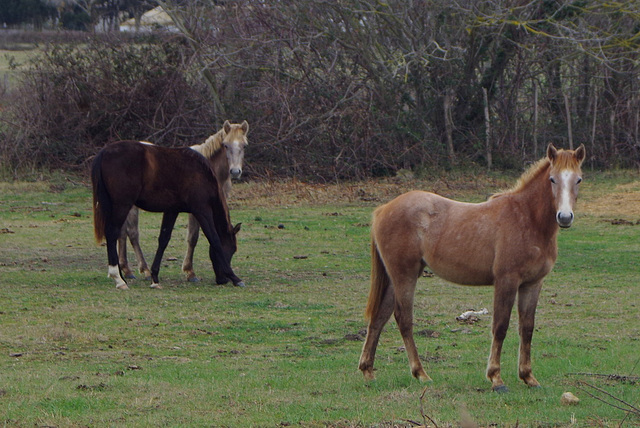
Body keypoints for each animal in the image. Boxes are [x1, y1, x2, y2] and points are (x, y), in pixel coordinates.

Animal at [93, 140, 245, 290]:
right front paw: (236, 278)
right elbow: (214, 240)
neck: (203, 173)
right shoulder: (202, 211)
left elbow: (163, 240)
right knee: (112, 233)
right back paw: (118, 279)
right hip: (122, 205)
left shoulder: (172, 211)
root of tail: (104, 152)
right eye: (232, 249)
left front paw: (154, 277)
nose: (222, 280)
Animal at [116, 120, 249, 280]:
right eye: (225, 145)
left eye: (244, 145)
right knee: (132, 233)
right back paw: (144, 270)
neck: (208, 168)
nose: (235, 172)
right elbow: (193, 237)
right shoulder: (197, 209)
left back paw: (126, 269)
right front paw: (190, 272)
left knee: (122, 233)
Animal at [358, 143, 588, 392]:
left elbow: (527, 328)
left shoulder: (532, 284)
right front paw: (496, 378)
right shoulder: (506, 281)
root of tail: (383, 209)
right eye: (552, 179)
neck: (527, 219)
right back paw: (421, 373)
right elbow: (500, 326)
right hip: (405, 275)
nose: (564, 217)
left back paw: (368, 371)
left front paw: (528, 377)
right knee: (403, 319)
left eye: (578, 179)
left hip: (396, 276)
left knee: (380, 317)